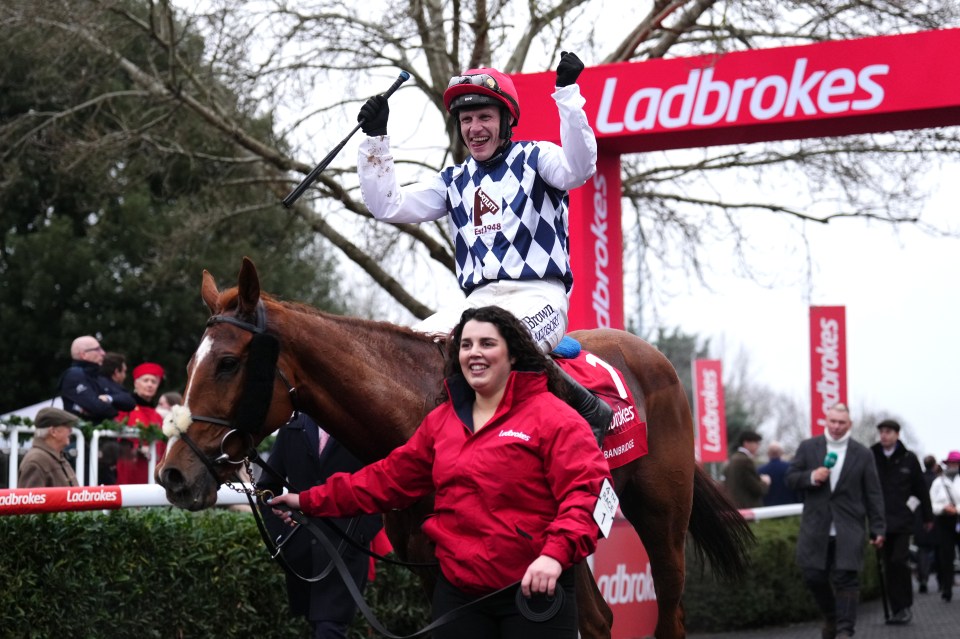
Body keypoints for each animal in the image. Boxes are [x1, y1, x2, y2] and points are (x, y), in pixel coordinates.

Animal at [158, 258, 752, 639]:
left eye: (228, 363)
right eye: (188, 364)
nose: (173, 475)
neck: (418, 408)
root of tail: (656, 361)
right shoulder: (433, 571)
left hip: (660, 518)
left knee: (666, 612)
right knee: (599, 618)